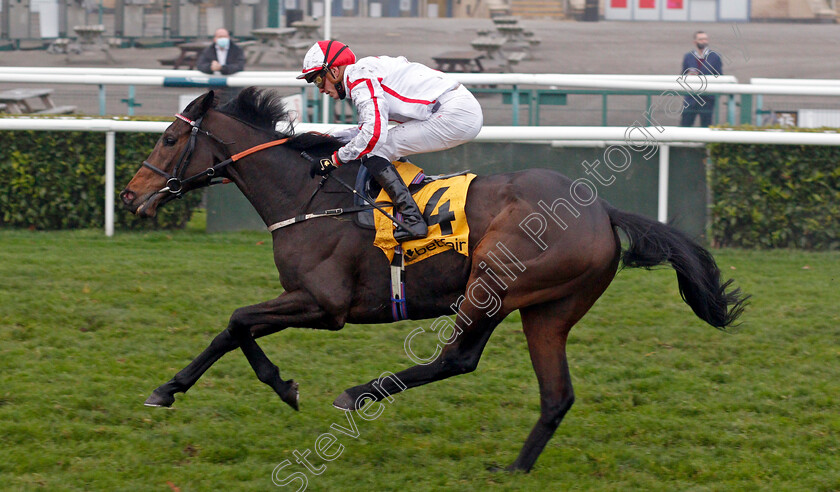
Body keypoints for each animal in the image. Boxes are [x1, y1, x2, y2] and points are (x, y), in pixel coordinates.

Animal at [120, 89, 748, 472]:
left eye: (169, 139)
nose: (130, 194)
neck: (306, 197)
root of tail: (602, 209)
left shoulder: (323, 304)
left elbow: (237, 321)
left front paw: (281, 385)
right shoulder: (305, 301)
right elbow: (231, 330)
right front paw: (169, 389)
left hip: (494, 284)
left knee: (457, 359)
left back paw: (360, 393)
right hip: (543, 309)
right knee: (554, 394)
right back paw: (514, 468)